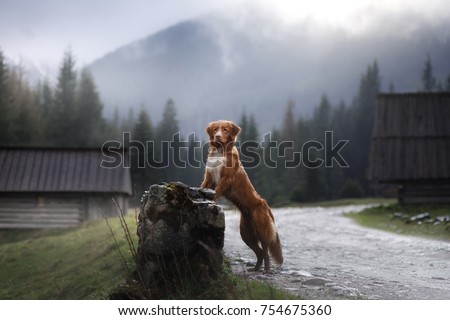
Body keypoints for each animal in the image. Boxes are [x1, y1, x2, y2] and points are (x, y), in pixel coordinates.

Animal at [202, 120, 284, 272]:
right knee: (259, 252)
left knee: (265, 251)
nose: (217, 136)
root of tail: (266, 205)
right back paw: (255, 269)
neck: (220, 152)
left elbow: (217, 191)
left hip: (262, 230)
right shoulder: (209, 177)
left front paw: (212, 200)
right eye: (215, 129)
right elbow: (203, 187)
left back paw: (267, 271)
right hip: (246, 233)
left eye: (225, 130)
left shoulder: (226, 179)